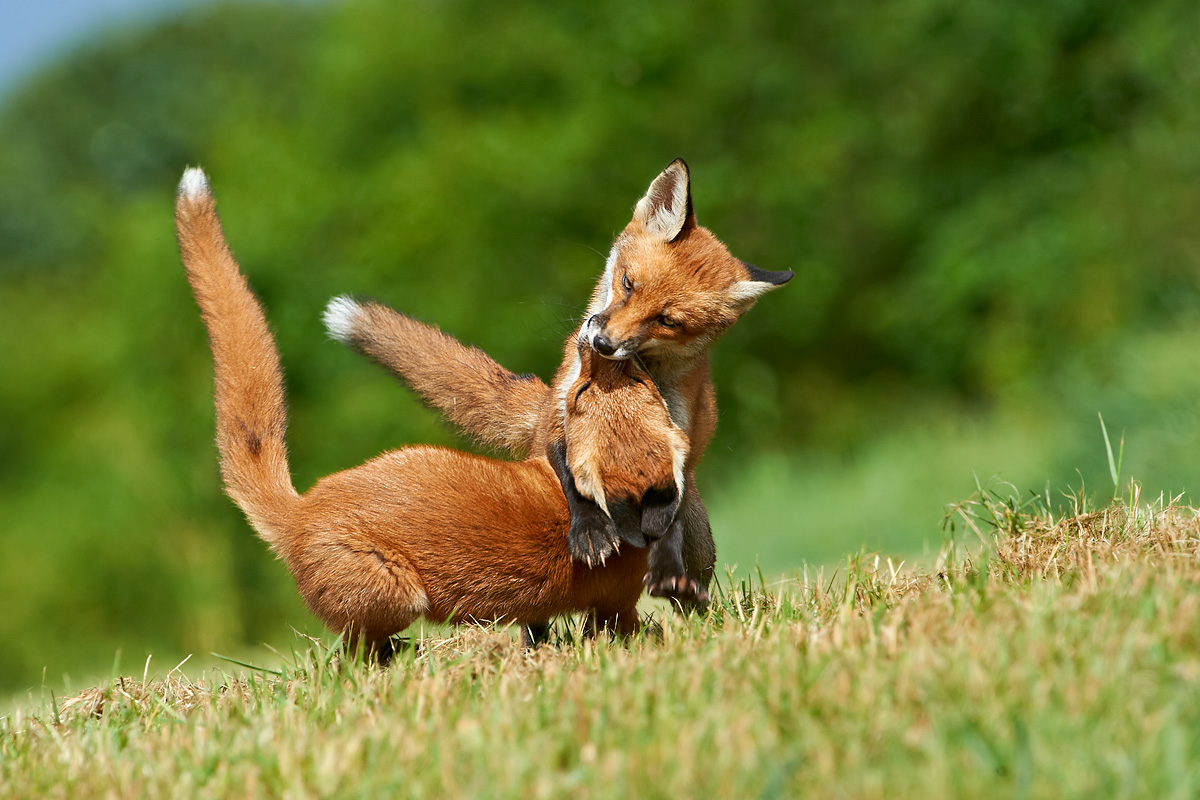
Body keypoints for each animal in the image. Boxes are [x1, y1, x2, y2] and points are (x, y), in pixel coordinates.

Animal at [174, 167, 653, 658]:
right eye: (590, 387)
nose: (592, 337)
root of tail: (302, 511)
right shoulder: (616, 603)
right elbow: (625, 629)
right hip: (396, 593)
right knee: (355, 653)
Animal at [324, 159, 792, 598]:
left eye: (667, 321)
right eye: (627, 284)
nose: (602, 343)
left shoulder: (675, 442)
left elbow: (666, 519)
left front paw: (664, 567)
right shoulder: (564, 415)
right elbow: (573, 477)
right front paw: (590, 532)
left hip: (702, 544)